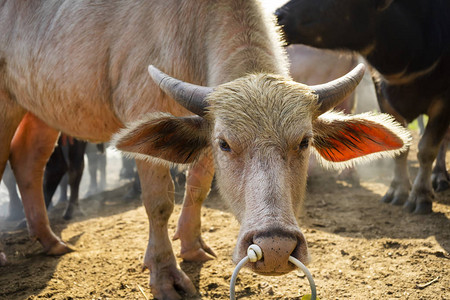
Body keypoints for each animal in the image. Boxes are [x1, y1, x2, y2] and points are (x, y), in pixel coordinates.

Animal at [0, 1, 408, 298]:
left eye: (304, 141)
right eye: (226, 143)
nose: (276, 248)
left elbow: (197, 187)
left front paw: (193, 246)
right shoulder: (144, 110)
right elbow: (159, 202)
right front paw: (165, 274)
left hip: (40, 108)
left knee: (28, 161)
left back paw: (50, 240)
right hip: (7, 102)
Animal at [276, 0, 450, 216]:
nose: (278, 15)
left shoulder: (444, 101)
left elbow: (427, 148)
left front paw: (420, 196)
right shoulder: (382, 94)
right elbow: (402, 147)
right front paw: (397, 191)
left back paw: (439, 177)